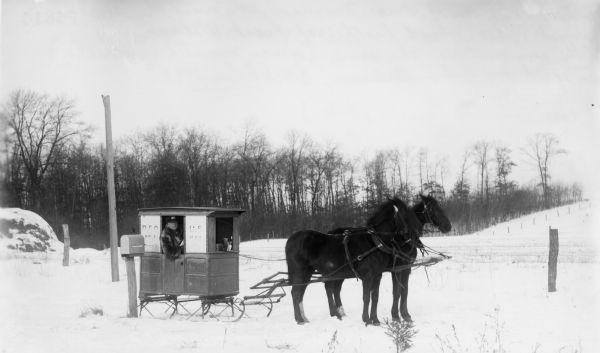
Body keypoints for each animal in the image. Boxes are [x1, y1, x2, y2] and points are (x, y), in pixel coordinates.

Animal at [286, 197, 422, 324]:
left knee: (304, 292)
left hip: (312, 273)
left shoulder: (378, 274)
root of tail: (291, 239)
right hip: (301, 272)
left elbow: (375, 296)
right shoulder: (369, 275)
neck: (374, 242)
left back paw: (307, 318)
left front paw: (375, 320)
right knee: (296, 293)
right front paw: (367, 320)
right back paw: (300, 319)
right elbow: (367, 297)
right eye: (404, 215)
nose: (411, 235)